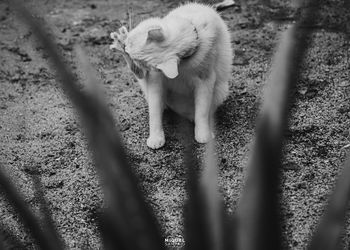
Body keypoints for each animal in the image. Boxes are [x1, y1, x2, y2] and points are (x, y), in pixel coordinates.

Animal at [110, 2, 232, 148]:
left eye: (142, 62)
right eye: (130, 42)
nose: (125, 47)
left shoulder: (205, 80)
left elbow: (201, 112)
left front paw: (203, 133)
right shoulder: (154, 79)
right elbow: (154, 112)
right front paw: (156, 137)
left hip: (221, 90)